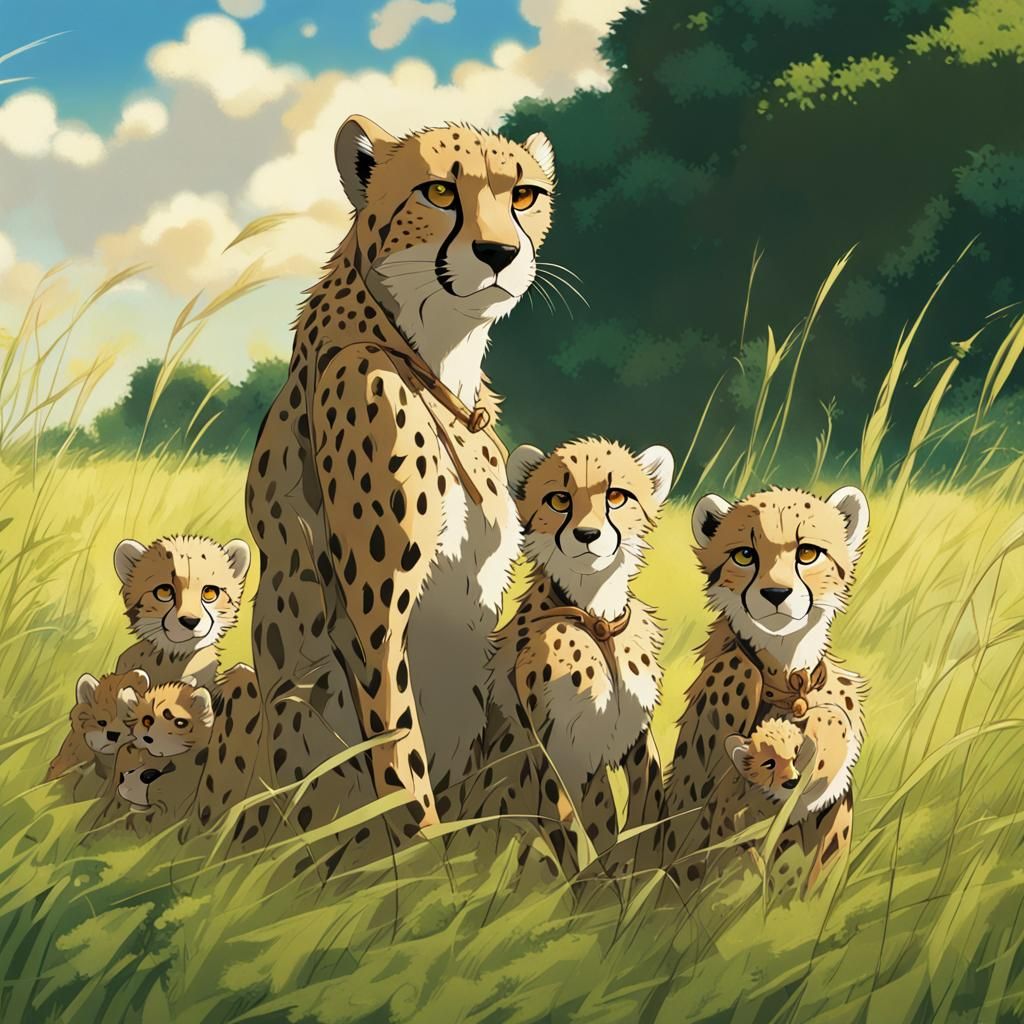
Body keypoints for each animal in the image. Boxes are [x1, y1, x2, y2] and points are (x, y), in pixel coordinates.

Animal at [237, 114, 557, 872]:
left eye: (523, 194)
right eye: (439, 191)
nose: (500, 253)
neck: (437, 356)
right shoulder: (373, 621)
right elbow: (401, 756)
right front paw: (423, 873)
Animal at [461, 437, 674, 880]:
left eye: (616, 496)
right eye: (559, 499)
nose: (587, 534)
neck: (597, 618)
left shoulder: (636, 738)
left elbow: (646, 810)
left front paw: (644, 880)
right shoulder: (548, 747)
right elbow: (568, 830)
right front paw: (587, 889)